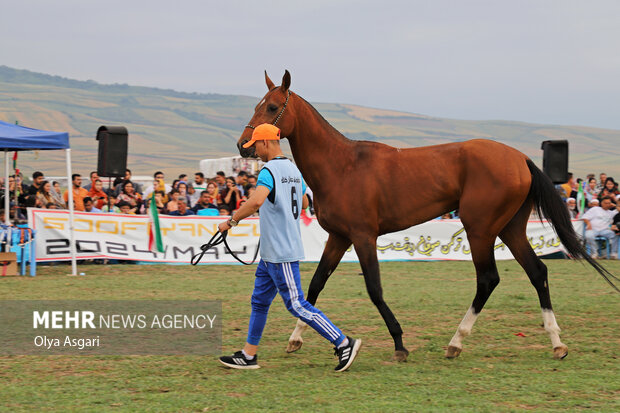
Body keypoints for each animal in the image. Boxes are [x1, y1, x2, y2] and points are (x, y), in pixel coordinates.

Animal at [236, 71, 616, 360]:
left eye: (272, 107)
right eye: (255, 106)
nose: (243, 145)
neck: (342, 166)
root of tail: (520, 158)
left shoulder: (363, 236)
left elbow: (374, 288)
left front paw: (399, 343)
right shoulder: (339, 237)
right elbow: (314, 285)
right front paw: (295, 338)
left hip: (480, 229)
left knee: (488, 279)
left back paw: (455, 342)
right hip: (510, 229)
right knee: (537, 272)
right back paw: (556, 343)